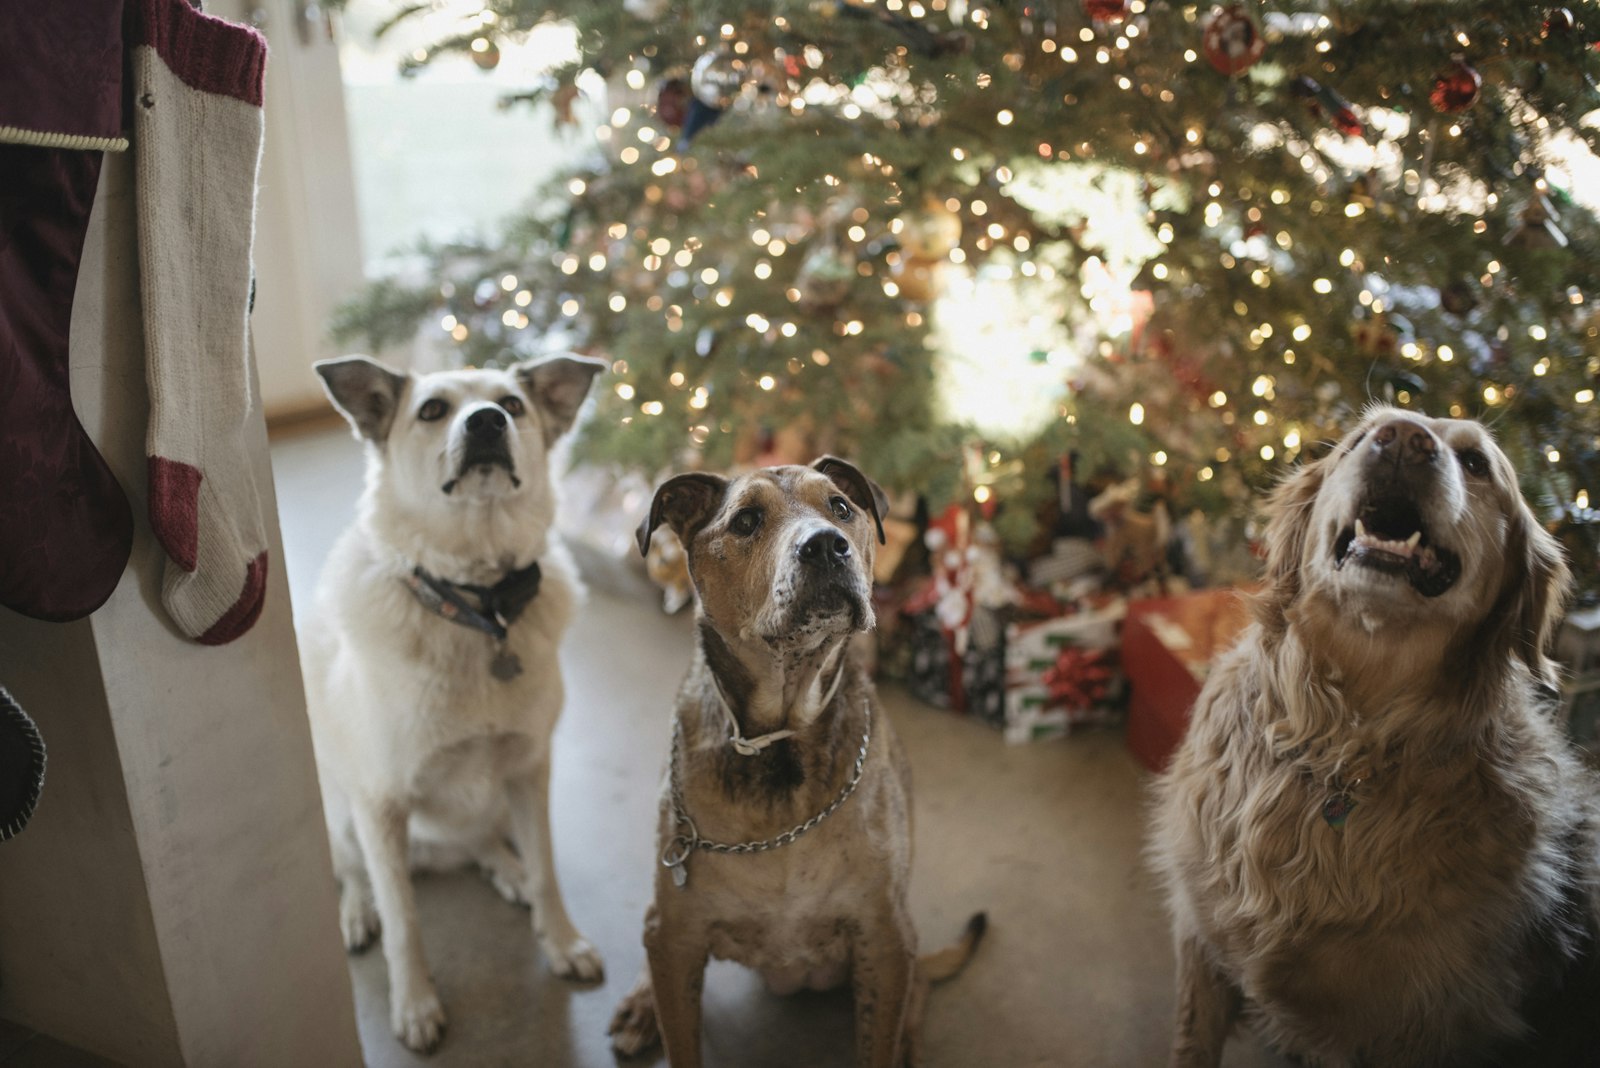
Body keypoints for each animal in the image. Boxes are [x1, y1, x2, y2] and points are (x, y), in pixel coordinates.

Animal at [300, 351, 604, 1048]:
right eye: (433, 410)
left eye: (512, 404)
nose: (487, 422)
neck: (479, 606)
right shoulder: (379, 805)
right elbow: (405, 921)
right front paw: (414, 1003)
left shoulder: (528, 770)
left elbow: (547, 868)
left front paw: (561, 939)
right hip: (341, 812)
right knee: (351, 870)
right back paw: (355, 912)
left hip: (493, 802)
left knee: (483, 842)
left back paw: (506, 870)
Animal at [608, 460, 979, 1068]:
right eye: (746, 521)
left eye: (841, 508)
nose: (826, 546)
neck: (779, 742)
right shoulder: (678, 936)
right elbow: (681, 1034)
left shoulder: (885, 937)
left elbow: (880, 1037)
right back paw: (641, 1006)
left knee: (919, 989)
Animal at [1158, 409, 1593, 1068]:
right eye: (1360, 440)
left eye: (1476, 463)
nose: (1404, 442)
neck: (1341, 744)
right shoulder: (1199, 940)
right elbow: (1190, 1041)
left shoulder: (1400, 1029)